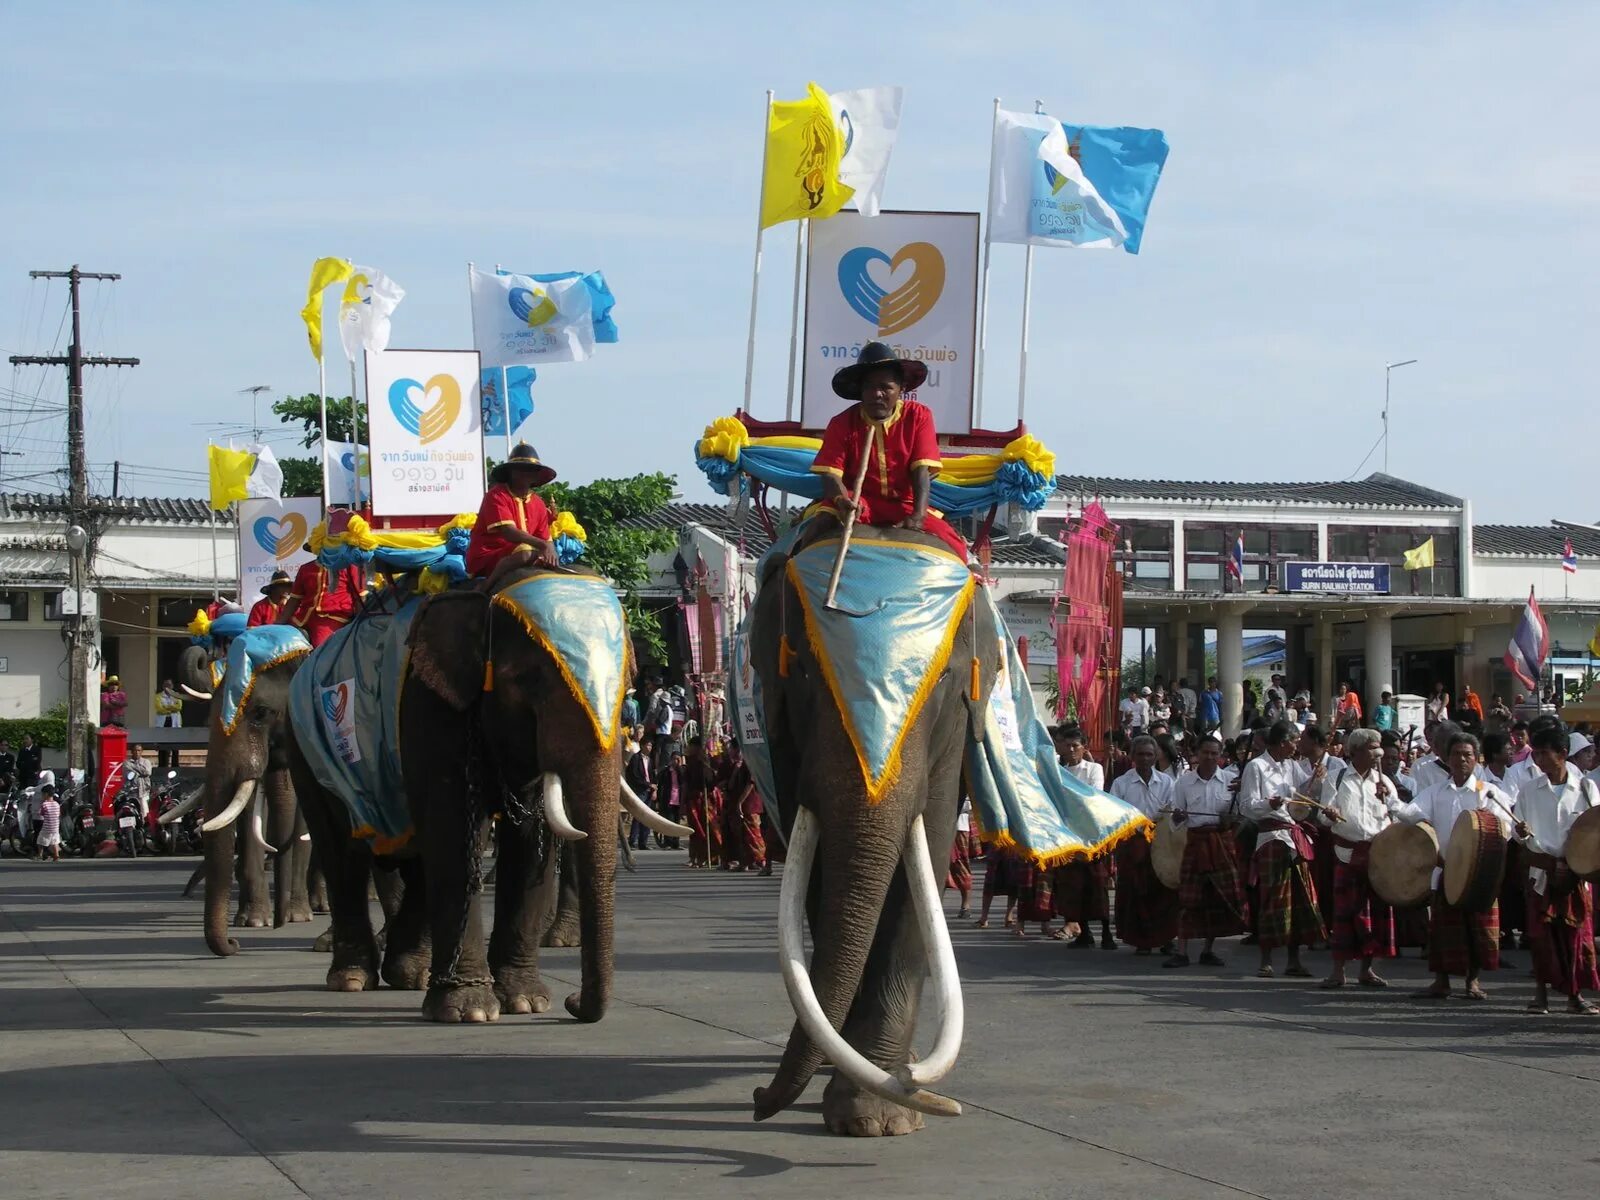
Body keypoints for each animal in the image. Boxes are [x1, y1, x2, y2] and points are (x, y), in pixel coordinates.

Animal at [739, 531, 992, 1139]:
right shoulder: (782, 735)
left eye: (943, 678)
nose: (757, 1099)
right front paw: (863, 1104)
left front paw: (876, 1119)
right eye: (805, 671)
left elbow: (925, 861)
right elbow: (818, 875)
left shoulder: (953, 735)